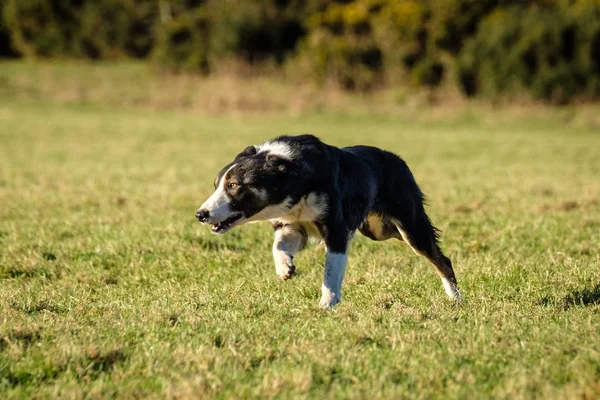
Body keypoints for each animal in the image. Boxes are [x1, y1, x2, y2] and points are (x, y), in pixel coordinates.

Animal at [195, 136, 462, 308]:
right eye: (216, 185)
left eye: (234, 185)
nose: (201, 214)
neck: (295, 176)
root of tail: (397, 160)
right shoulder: (292, 225)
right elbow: (278, 246)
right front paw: (285, 267)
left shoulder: (336, 230)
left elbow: (331, 270)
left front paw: (327, 303)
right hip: (377, 229)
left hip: (409, 226)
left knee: (440, 258)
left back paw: (455, 298)